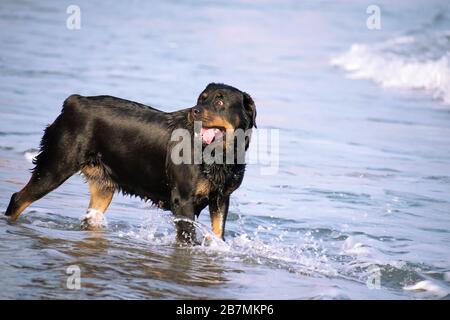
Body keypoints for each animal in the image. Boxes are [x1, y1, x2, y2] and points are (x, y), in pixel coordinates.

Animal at [5, 82, 256, 242]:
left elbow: (218, 234)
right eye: (200, 99)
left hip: (103, 186)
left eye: (220, 103)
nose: (194, 111)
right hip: (56, 165)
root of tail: (74, 102)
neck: (217, 156)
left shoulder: (221, 198)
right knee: (18, 199)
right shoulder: (183, 201)